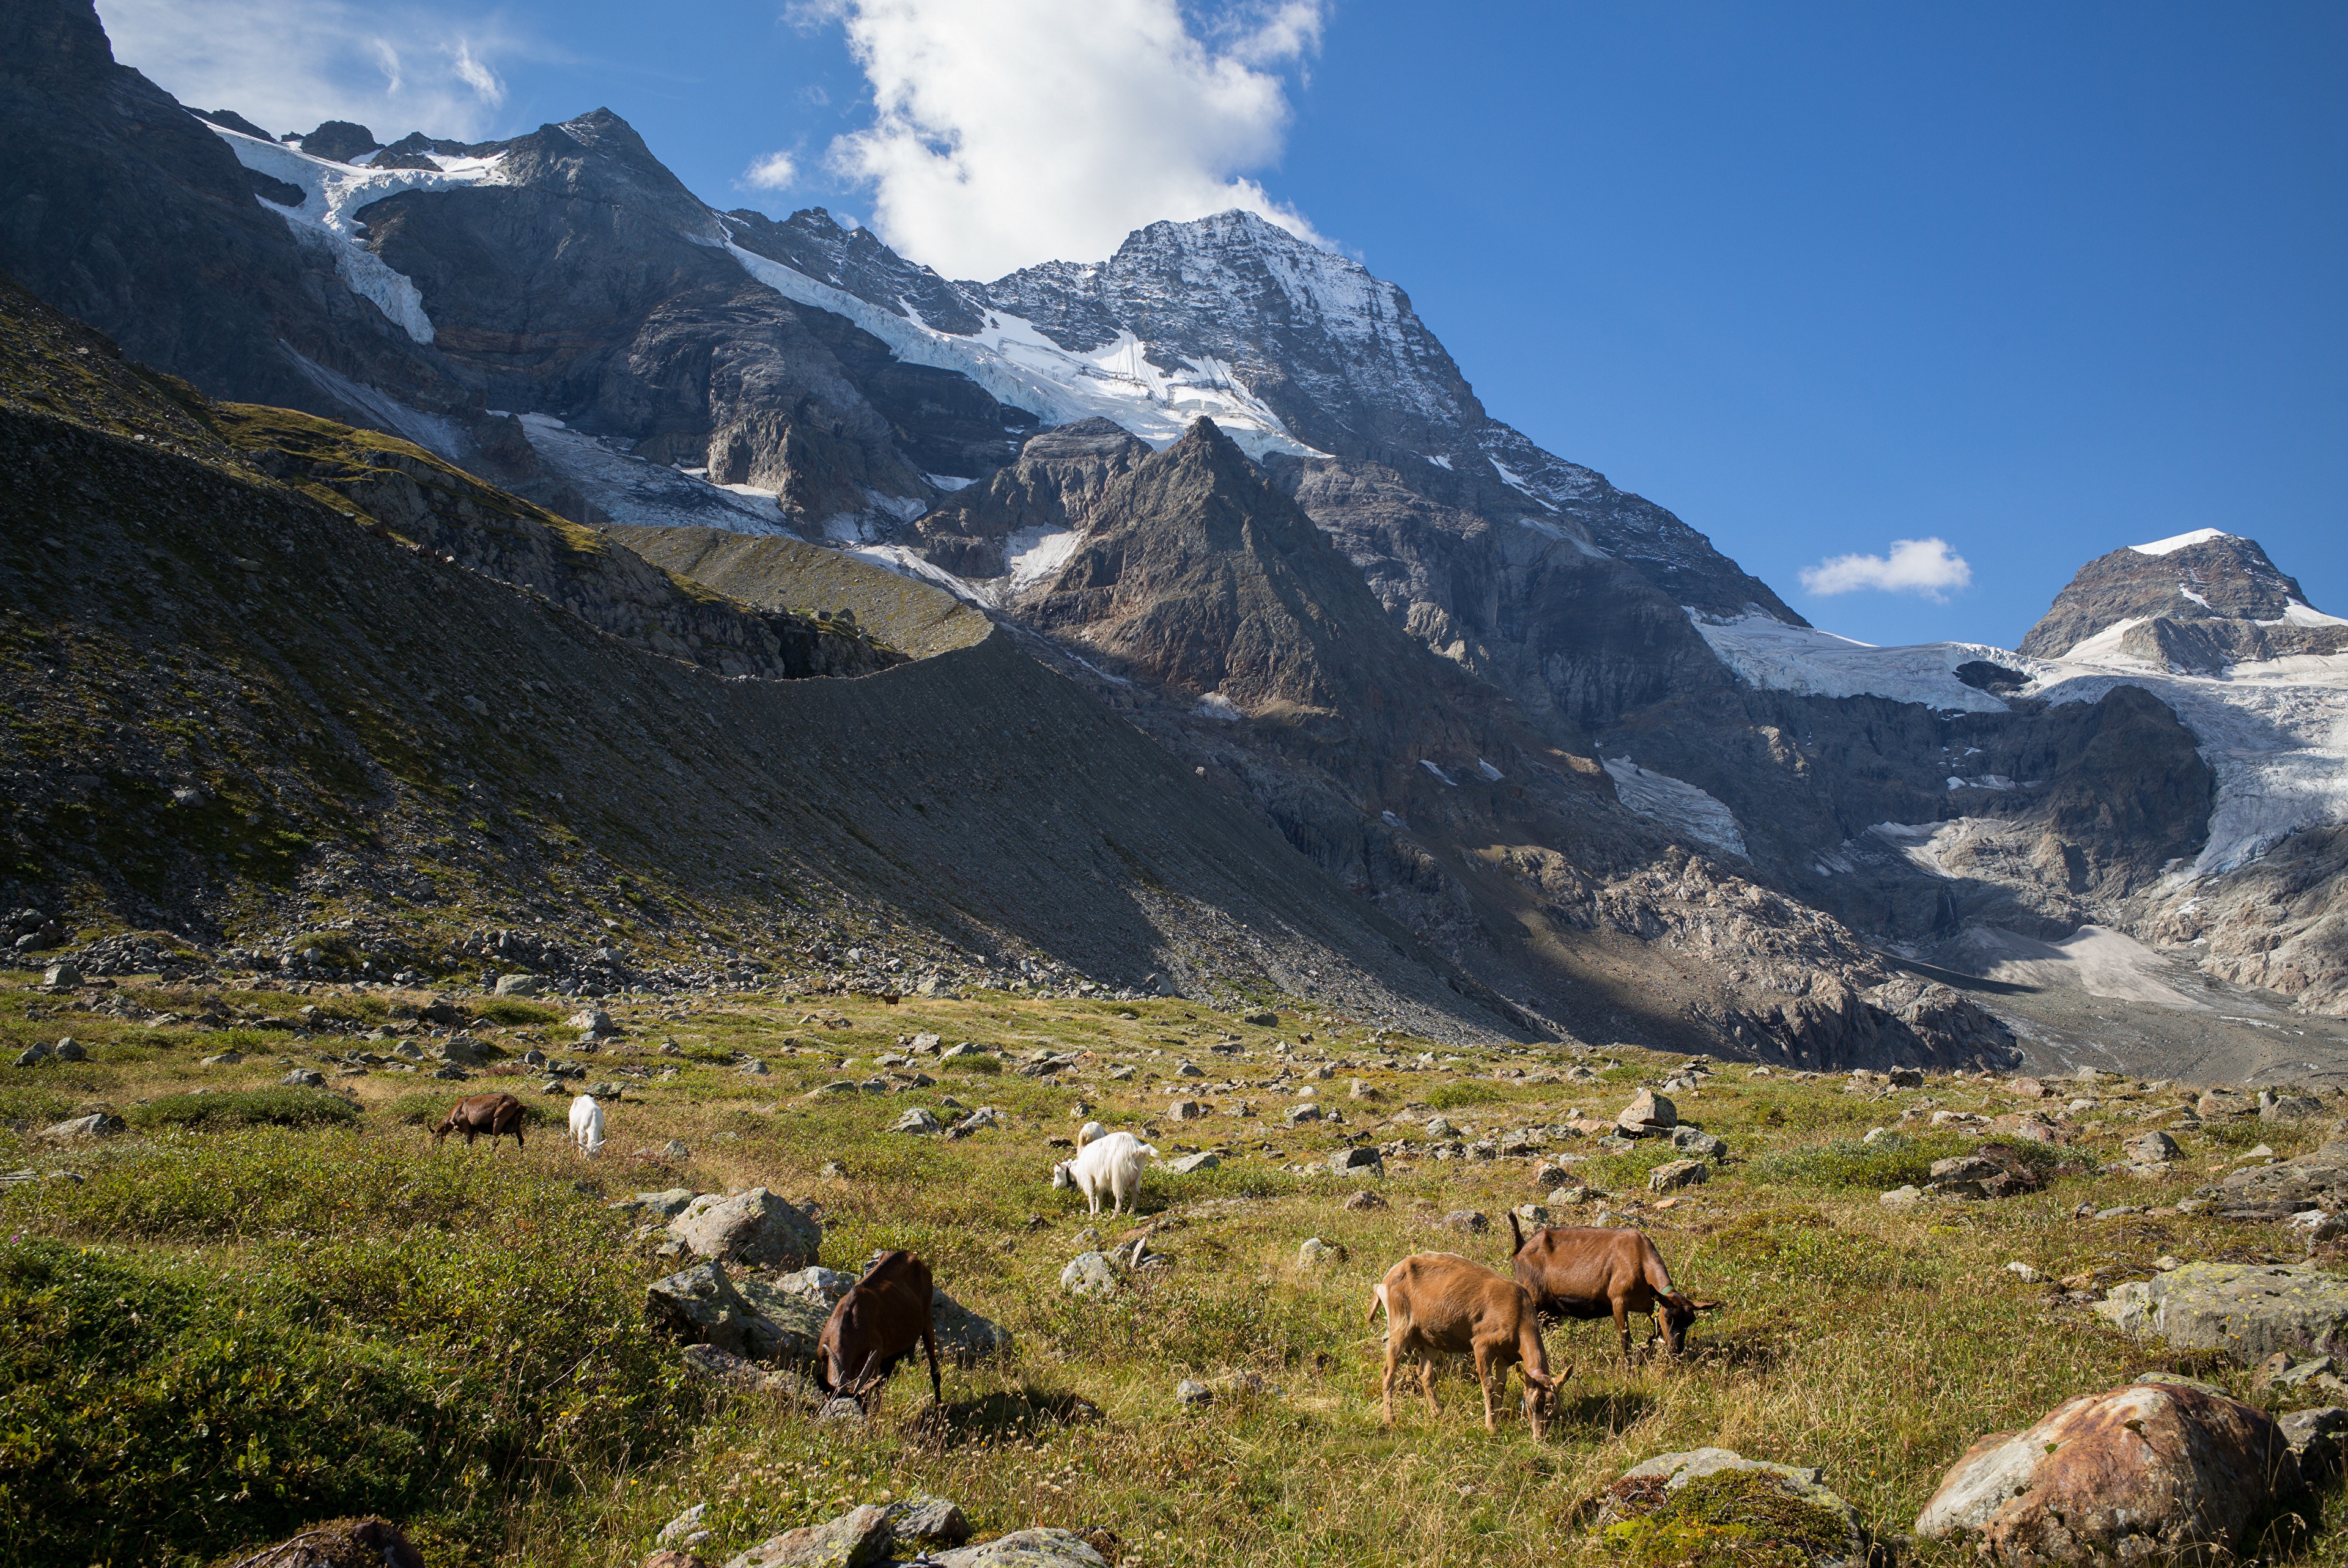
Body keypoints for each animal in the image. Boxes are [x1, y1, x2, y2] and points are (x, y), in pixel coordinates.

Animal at [431, 1092, 525, 1149]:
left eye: (435, 1138)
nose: (434, 1150)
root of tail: (519, 1104)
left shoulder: (467, 1127)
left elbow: (469, 1142)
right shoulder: (473, 1130)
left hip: (498, 1120)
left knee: (495, 1141)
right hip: (518, 1125)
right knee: (521, 1141)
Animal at [815, 1249, 942, 1412]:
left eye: (862, 1405)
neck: (848, 1320)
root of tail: (910, 1255)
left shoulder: (873, 1359)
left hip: (926, 1319)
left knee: (934, 1369)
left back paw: (939, 1406)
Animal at [1049, 1129, 1157, 1215]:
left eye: (1057, 1172)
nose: (1054, 1187)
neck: (1077, 1169)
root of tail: (1136, 1148)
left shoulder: (1088, 1178)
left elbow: (1091, 1196)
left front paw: (1092, 1214)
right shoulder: (1100, 1179)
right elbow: (1099, 1196)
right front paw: (1097, 1211)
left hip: (1118, 1175)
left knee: (1120, 1195)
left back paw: (1115, 1216)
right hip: (1137, 1175)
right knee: (1135, 1192)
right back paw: (1131, 1211)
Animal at [1369, 1251, 1556, 1436]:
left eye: (1553, 1407)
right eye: (1530, 1406)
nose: (1540, 1436)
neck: (1519, 1317)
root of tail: (1383, 1283)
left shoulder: (1504, 1357)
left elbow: (1500, 1387)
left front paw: (1497, 1422)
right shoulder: (1482, 1344)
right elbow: (1488, 1385)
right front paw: (1491, 1427)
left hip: (1429, 1338)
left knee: (1425, 1373)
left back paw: (1439, 1414)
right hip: (1399, 1326)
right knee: (1388, 1372)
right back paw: (1390, 1420)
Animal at [1507, 1215, 1720, 1367]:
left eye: (1690, 1321)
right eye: (1669, 1318)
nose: (1677, 1350)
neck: (1641, 1260)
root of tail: (1521, 1248)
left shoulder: (1650, 1304)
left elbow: (1654, 1333)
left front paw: (1643, 1355)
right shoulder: (1618, 1300)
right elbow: (1626, 1338)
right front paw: (1628, 1369)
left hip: (1550, 1310)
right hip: (1534, 1297)